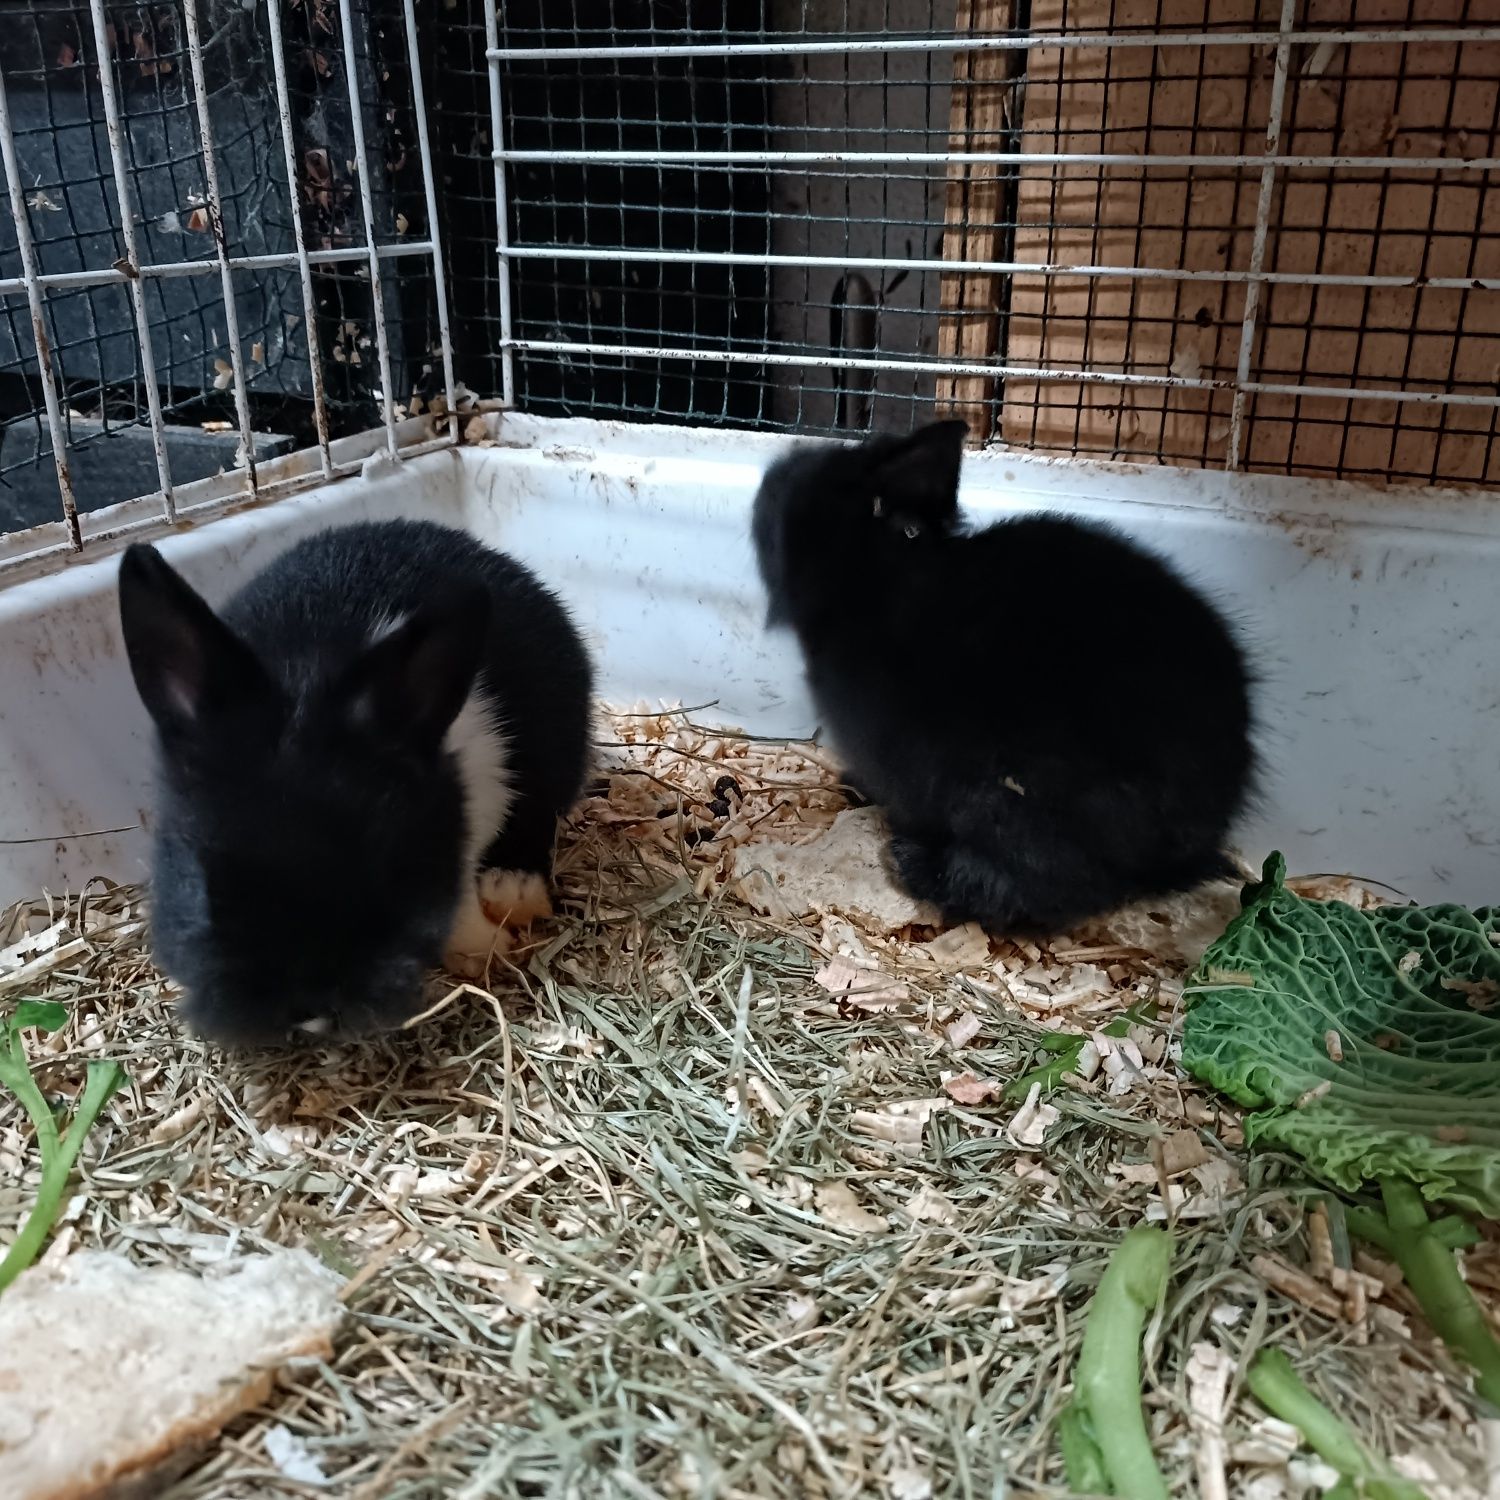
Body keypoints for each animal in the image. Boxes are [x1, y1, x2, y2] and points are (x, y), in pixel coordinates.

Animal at [115, 522, 591, 1050]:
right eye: (202, 887)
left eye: (382, 877)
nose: (304, 1009)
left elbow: (463, 901)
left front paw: (486, 950)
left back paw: (514, 891)